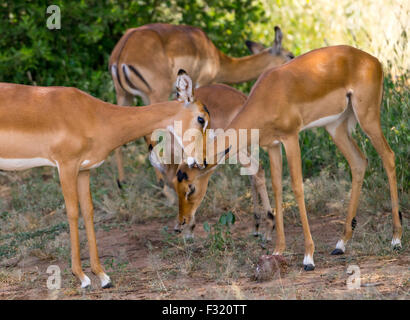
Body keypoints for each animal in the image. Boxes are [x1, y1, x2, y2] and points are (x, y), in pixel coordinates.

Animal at [0, 72, 208, 288]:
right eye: (201, 118)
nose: (202, 161)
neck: (97, 116)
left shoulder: (84, 170)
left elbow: (88, 212)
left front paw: (102, 276)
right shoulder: (66, 166)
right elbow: (72, 212)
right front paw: (82, 277)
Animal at [109, 23, 294, 199]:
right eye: (290, 55)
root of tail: (121, 54)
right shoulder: (202, 82)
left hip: (123, 95)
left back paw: (122, 183)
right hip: (154, 95)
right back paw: (164, 188)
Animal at [175, 45, 402, 270]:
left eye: (191, 188)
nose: (181, 223)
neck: (267, 96)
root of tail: (373, 60)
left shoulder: (291, 138)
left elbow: (297, 186)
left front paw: (308, 257)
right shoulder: (273, 146)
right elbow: (277, 188)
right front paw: (278, 250)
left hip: (367, 118)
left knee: (389, 157)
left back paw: (396, 239)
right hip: (336, 127)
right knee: (359, 163)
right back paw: (340, 244)